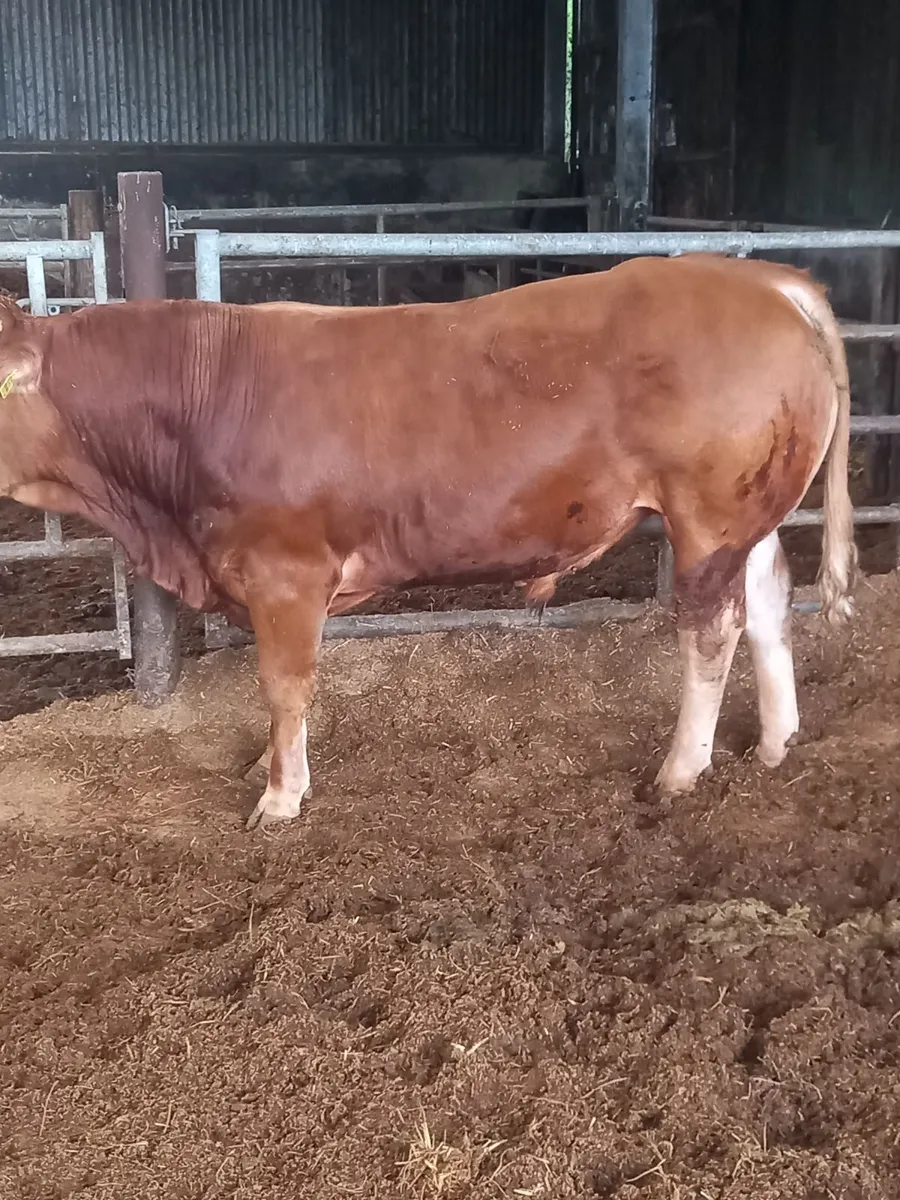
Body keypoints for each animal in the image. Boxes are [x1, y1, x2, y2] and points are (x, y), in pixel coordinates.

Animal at [0, 254, 857, 830]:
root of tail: (762, 278)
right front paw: (269, 765)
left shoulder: (284, 571)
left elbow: (284, 685)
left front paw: (278, 795)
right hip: (748, 517)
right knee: (770, 602)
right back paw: (775, 743)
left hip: (707, 517)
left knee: (712, 631)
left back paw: (679, 772)